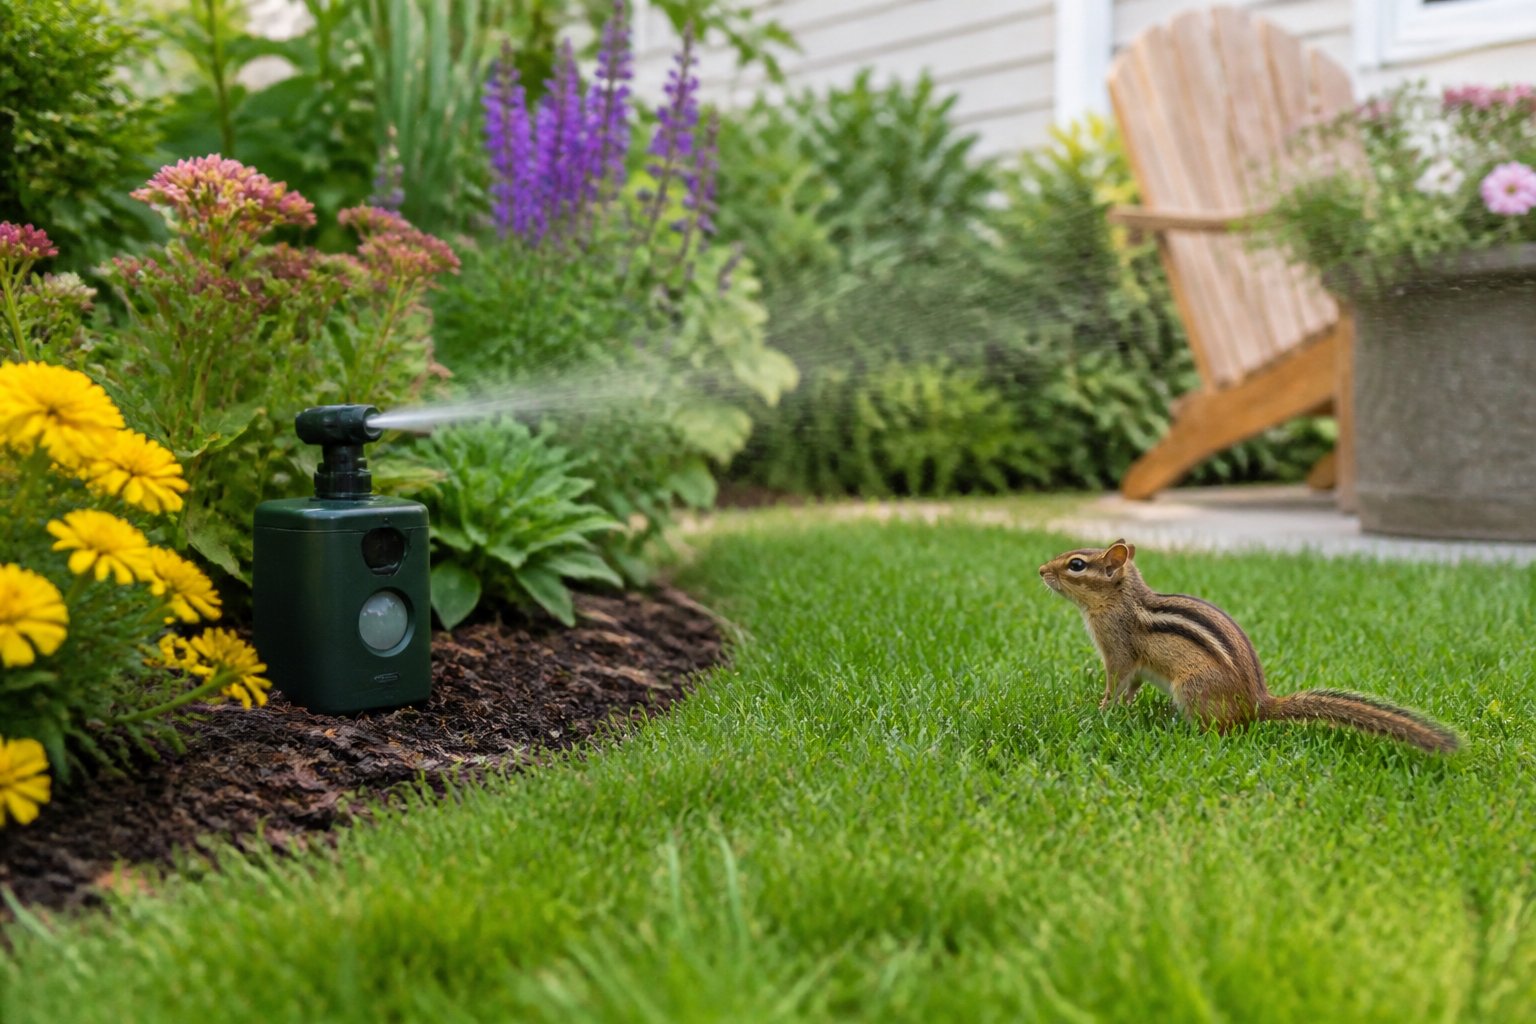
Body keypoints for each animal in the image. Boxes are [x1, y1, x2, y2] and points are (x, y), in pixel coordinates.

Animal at [1039, 540, 1460, 754]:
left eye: (1076, 565)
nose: (1041, 570)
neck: (1120, 601)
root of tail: (1258, 703)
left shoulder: (1117, 653)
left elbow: (1115, 683)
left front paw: (1101, 711)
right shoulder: (1137, 668)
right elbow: (1132, 689)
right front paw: (1123, 710)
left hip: (1191, 688)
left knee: (1221, 731)